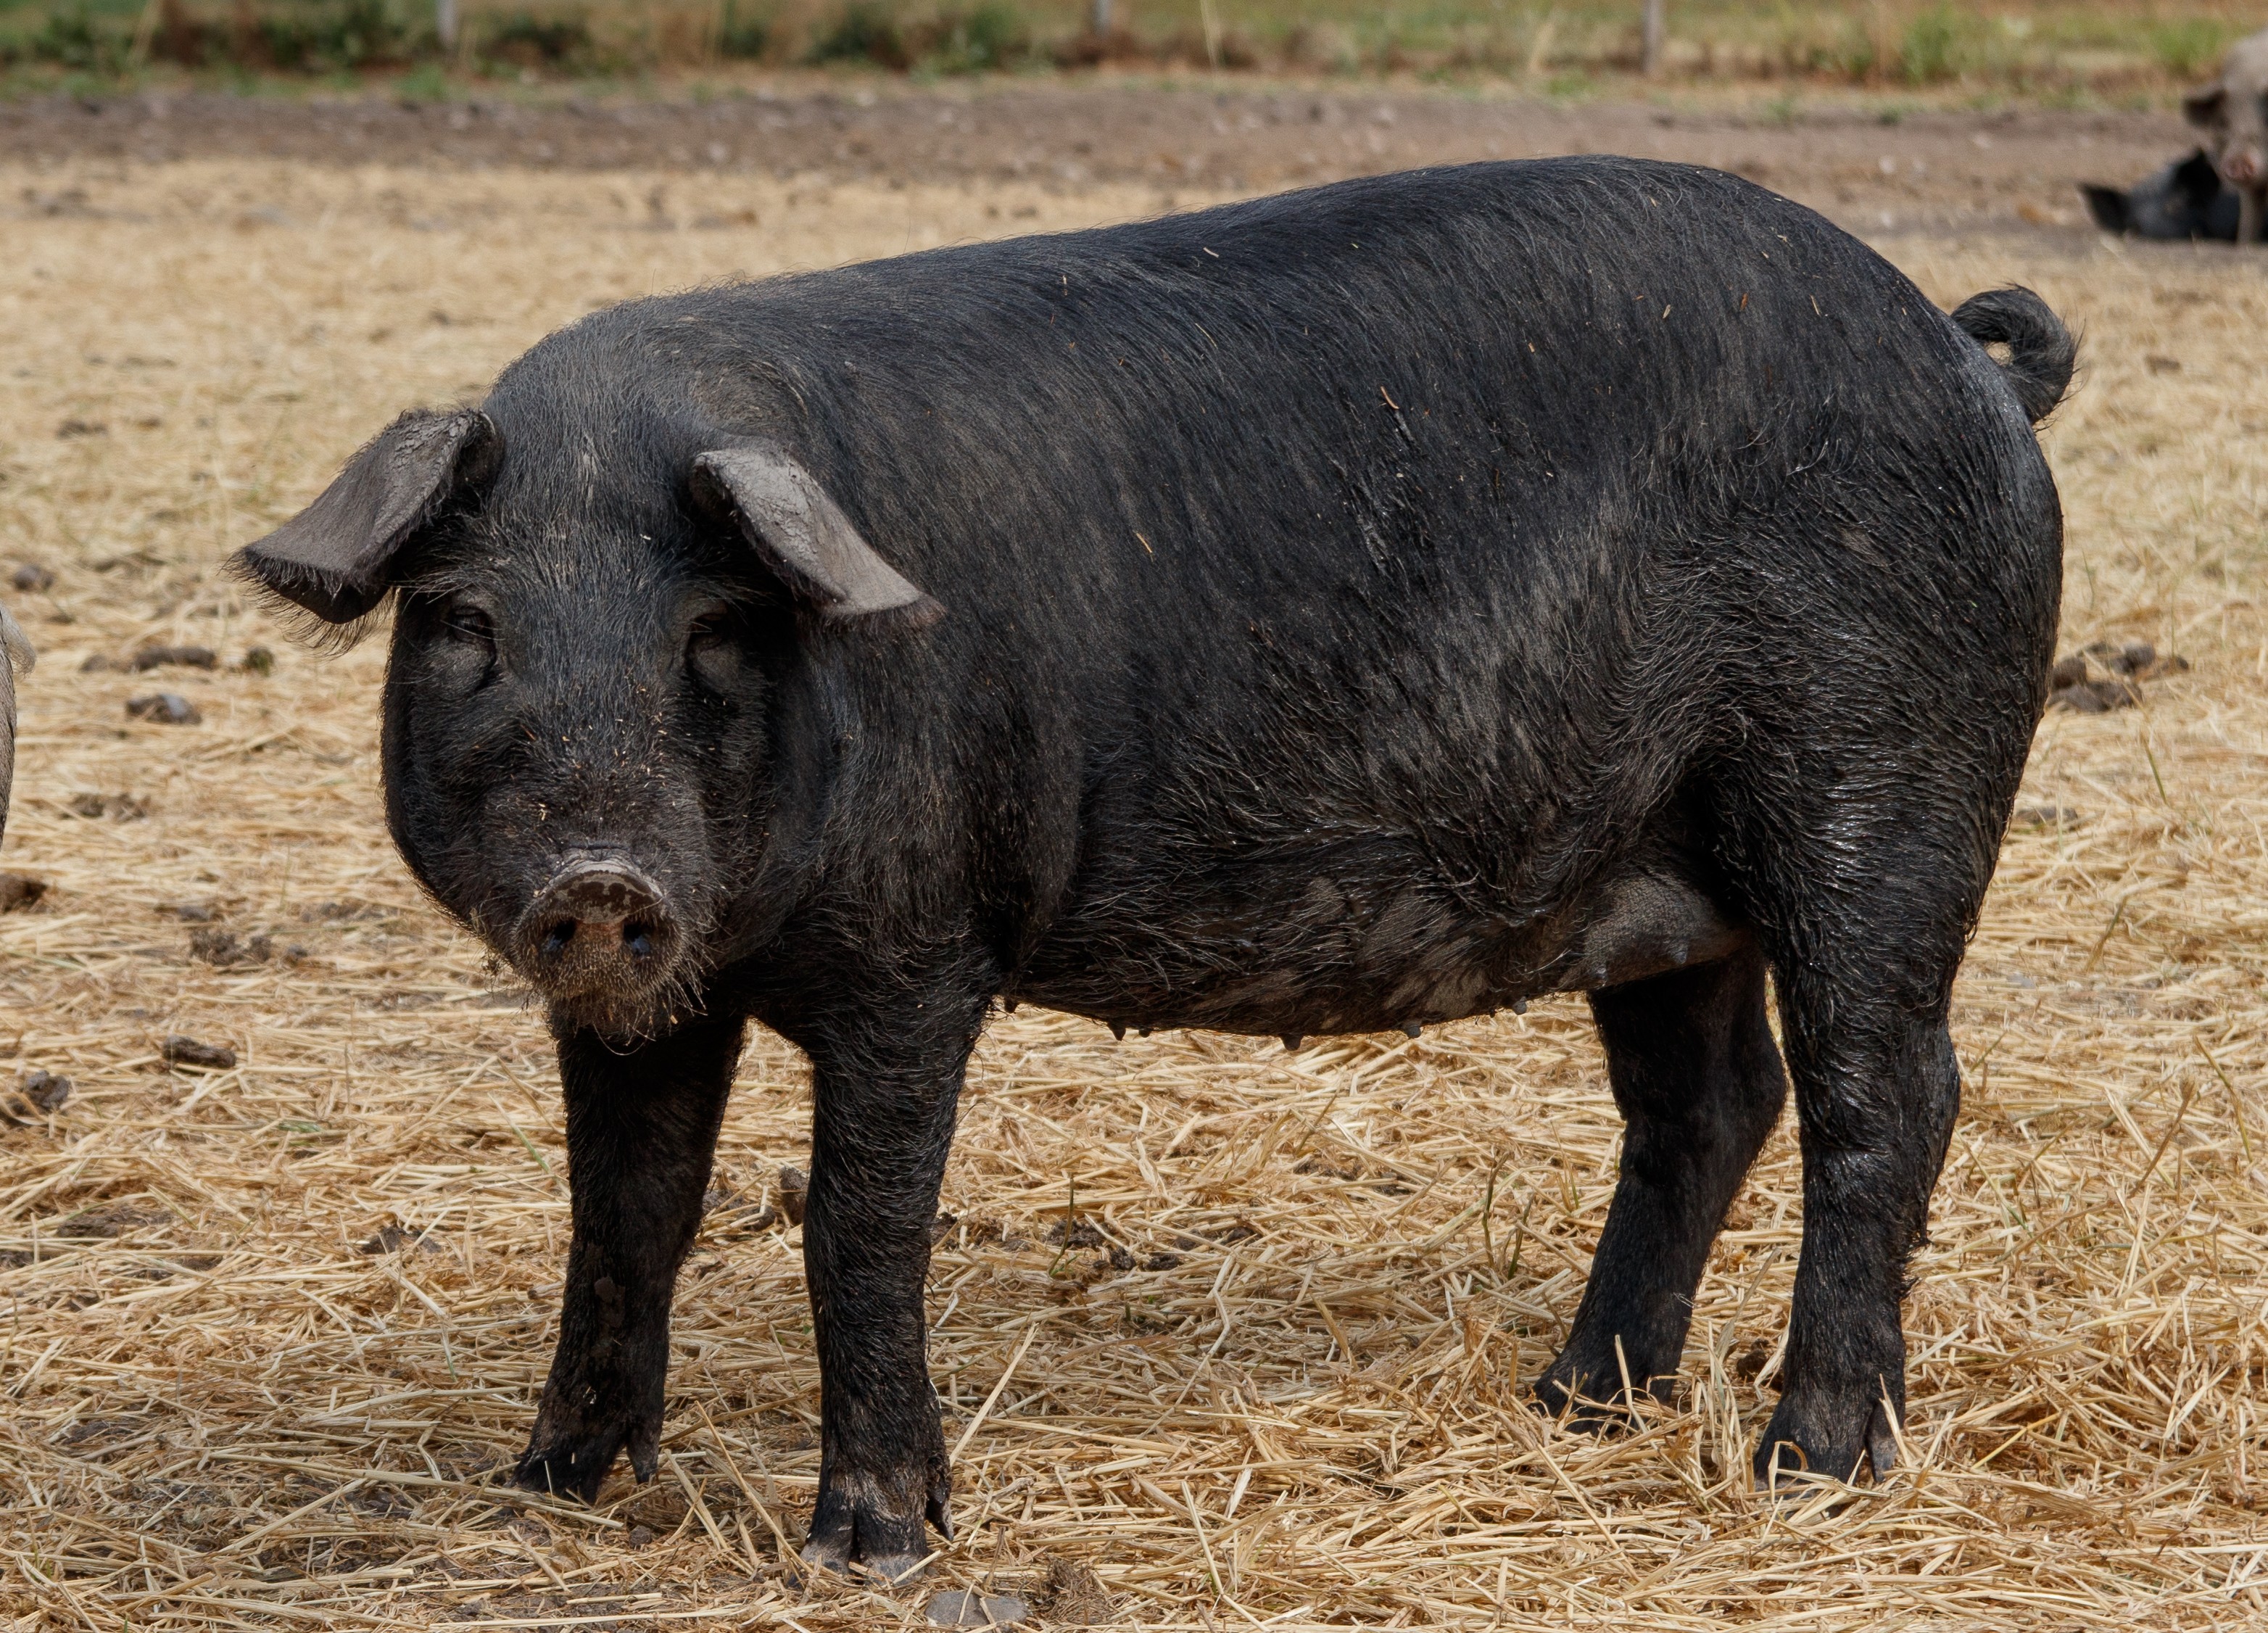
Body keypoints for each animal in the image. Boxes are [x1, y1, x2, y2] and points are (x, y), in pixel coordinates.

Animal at [235, 159, 2073, 1579]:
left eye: (714, 630)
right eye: (464, 625)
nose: (598, 879)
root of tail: (1969, 363)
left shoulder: (920, 952)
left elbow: (860, 1221)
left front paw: (869, 1543)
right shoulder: (655, 1000)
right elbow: (623, 1209)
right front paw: (546, 1488)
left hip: (1883, 796)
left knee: (1884, 1091)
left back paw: (1807, 1462)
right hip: (1654, 881)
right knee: (1707, 1100)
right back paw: (1575, 1399)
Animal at [2184, 28, 2268, 242]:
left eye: (2267, 119)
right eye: (2223, 122)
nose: (2238, 161)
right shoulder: (2250, 192)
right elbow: (2249, 219)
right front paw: (2245, 244)